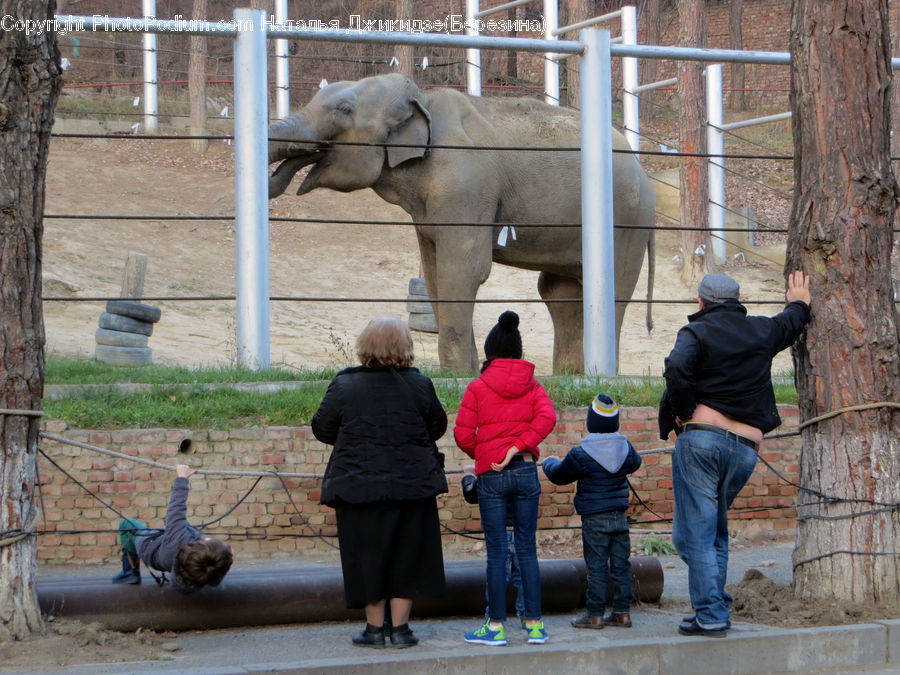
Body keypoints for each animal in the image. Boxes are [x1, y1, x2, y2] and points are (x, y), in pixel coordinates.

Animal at [268, 74, 652, 374]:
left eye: (344, 110)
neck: (423, 98)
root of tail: (642, 168)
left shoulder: (465, 185)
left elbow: (464, 270)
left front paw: (458, 375)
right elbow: (435, 272)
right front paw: (461, 373)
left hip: (626, 221)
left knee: (607, 287)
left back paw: (598, 376)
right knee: (560, 292)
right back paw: (571, 376)